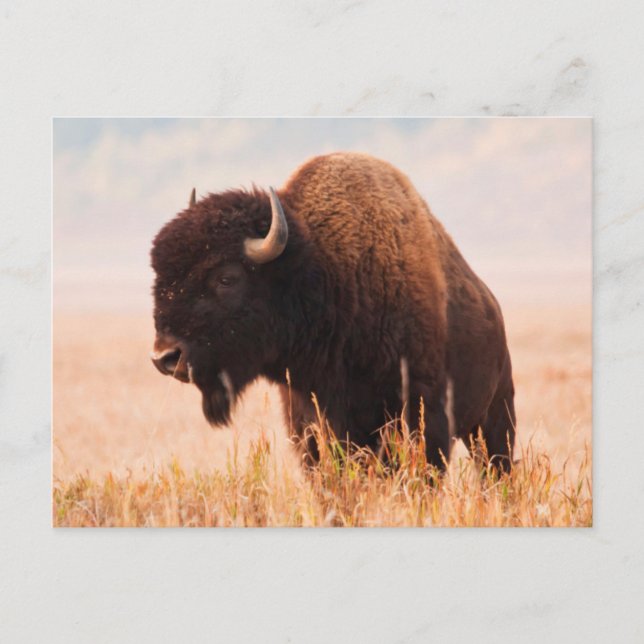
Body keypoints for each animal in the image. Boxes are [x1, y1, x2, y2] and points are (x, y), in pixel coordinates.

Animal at [150, 152, 516, 470]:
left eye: (226, 278)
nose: (165, 357)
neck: (328, 273)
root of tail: (492, 306)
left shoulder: (423, 417)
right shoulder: (309, 423)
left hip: (494, 418)